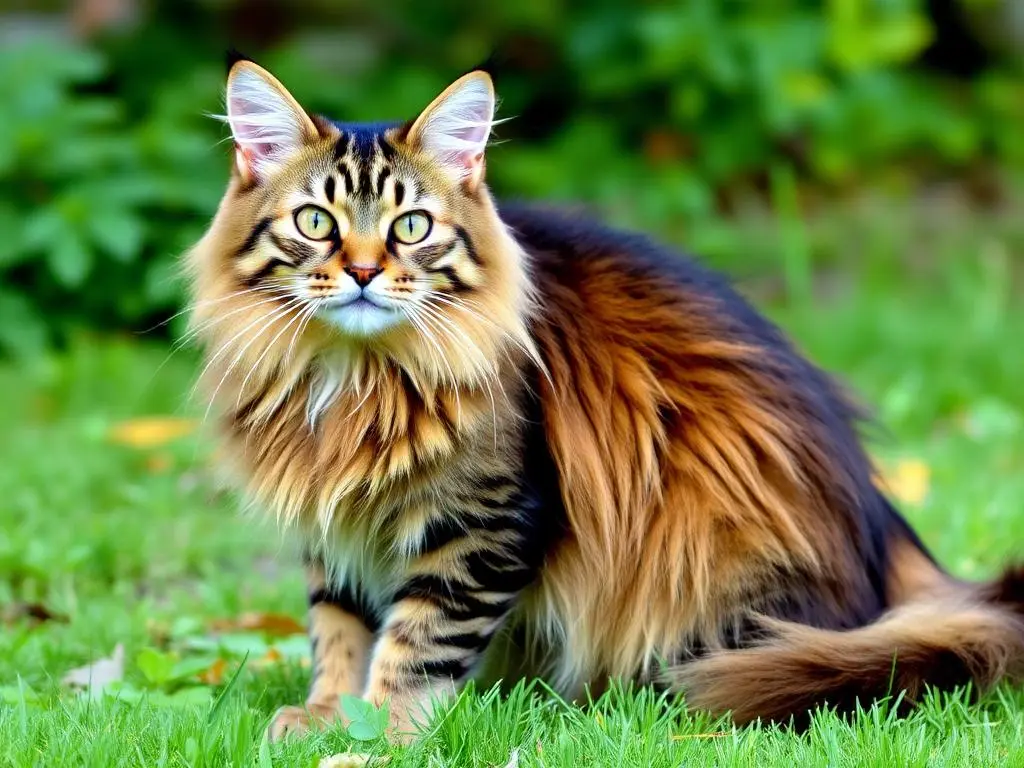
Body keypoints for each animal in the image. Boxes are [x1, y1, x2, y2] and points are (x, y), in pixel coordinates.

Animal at [186, 52, 1024, 741]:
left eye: (413, 227)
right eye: (316, 222)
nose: (362, 271)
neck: (352, 380)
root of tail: (885, 522)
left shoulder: (484, 526)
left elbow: (418, 642)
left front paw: (381, 734)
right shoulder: (338, 526)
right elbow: (339, 627)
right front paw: (328, 714)